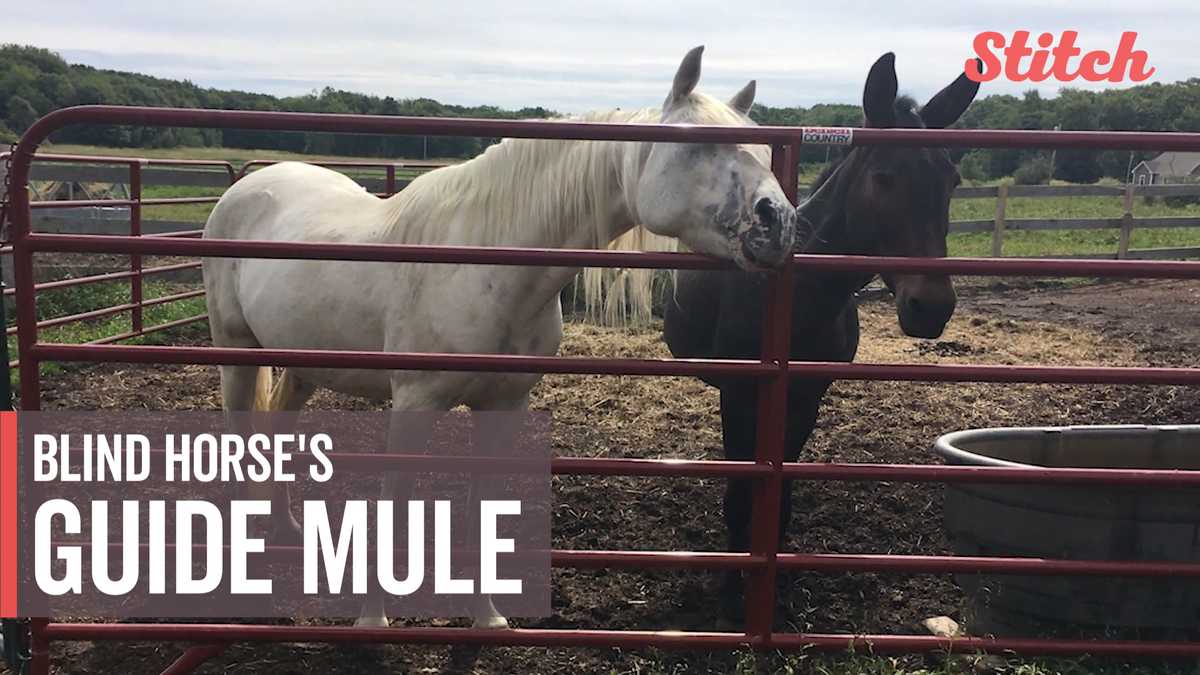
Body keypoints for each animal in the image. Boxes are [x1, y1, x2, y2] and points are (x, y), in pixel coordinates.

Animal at [201, 45, 798, 629]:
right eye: (701, 144)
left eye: (764, 153)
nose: (781, 224)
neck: (488, 264)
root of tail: (245, 186)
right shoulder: (414, 403)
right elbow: (395, 501)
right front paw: (372, 622)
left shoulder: (505, 404)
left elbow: (482, 506)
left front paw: (486, 619)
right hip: (237, 355)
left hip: (302, 363)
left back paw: (287, 529)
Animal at [661, 52, 980, 619]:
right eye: (883, 177)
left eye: (952, 179)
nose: (931, 306)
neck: (796, 295)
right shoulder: (739, 394)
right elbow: (740, 490)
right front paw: (732, 587)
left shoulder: (805, 397)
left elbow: (779, 493)